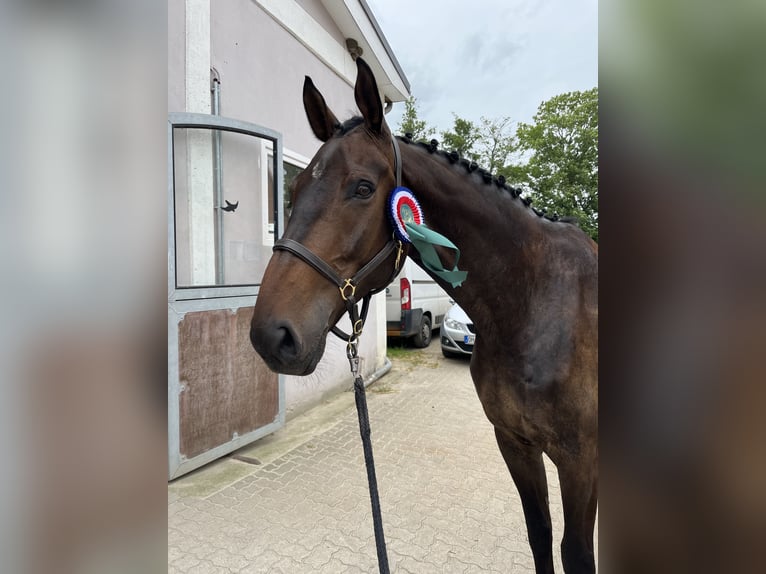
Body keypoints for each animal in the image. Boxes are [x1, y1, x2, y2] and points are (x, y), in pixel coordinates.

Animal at [250, 57, 598, 574]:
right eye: (294, 186)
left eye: (363, 187)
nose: (272, 335)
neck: (533, 303)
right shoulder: (515, 442)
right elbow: (539, 534)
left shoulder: (580, 460)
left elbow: (575, 553)